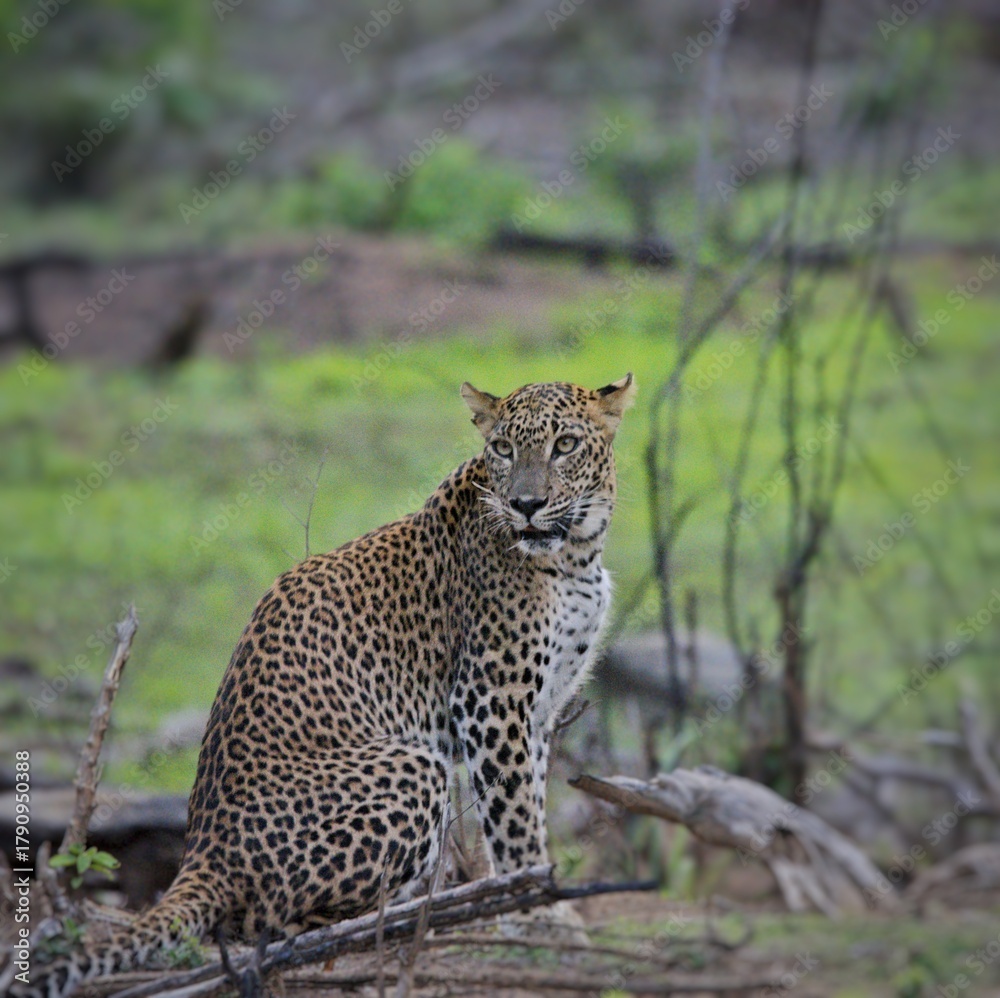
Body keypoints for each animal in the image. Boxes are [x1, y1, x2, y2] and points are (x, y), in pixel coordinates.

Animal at [15, 374, 636, 998]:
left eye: (564, 445)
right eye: (504, 449)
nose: (525, 505)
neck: (577, 555)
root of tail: (202, 852)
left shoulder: (540, 707)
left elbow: (531, 801)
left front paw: (533, 903)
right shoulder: (490, 698)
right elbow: (514, 818)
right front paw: (537, 914)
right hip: (415, 766)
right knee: (262, 921)